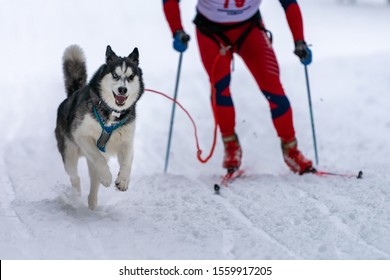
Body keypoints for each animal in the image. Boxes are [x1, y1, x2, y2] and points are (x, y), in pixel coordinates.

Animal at [55, 44, 144, 209]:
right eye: (115, 75)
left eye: (130, 77)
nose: (122, 89)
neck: (112, 114)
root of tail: (70, 96)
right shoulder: (82, 136)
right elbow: (99, 158)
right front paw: (107, 177)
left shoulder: (126, 141)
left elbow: (127, 162)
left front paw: (123, 180)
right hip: (69, 154)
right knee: (75, 177)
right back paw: (77, 195)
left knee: (93, 183)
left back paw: (92, 203)